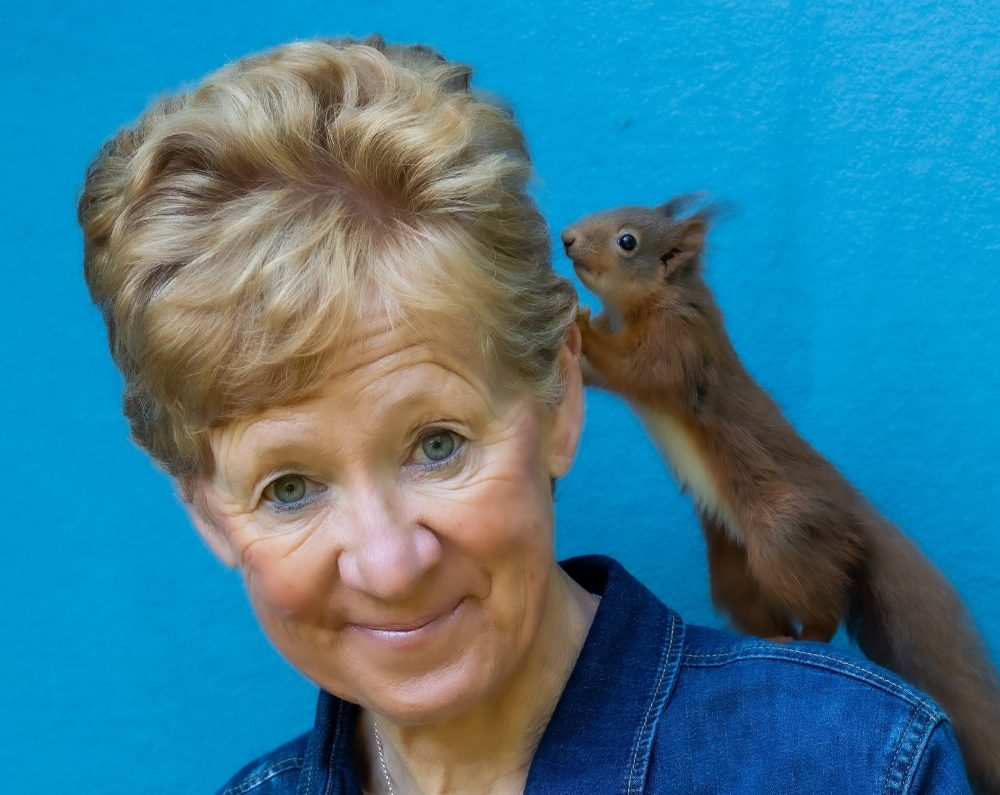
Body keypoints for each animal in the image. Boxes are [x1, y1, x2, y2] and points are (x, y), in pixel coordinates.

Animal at [563, 196, 1000, 794]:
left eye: (627, 241)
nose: (565, 239)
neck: (650, 302)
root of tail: (849, 508)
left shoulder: (681, 346)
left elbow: (641, 369)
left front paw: (578, 318)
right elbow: (603, 374)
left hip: (784, 539)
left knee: (824, 608)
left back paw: (805, 639)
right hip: (734, 566)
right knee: (754, 608)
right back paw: (772, 640)